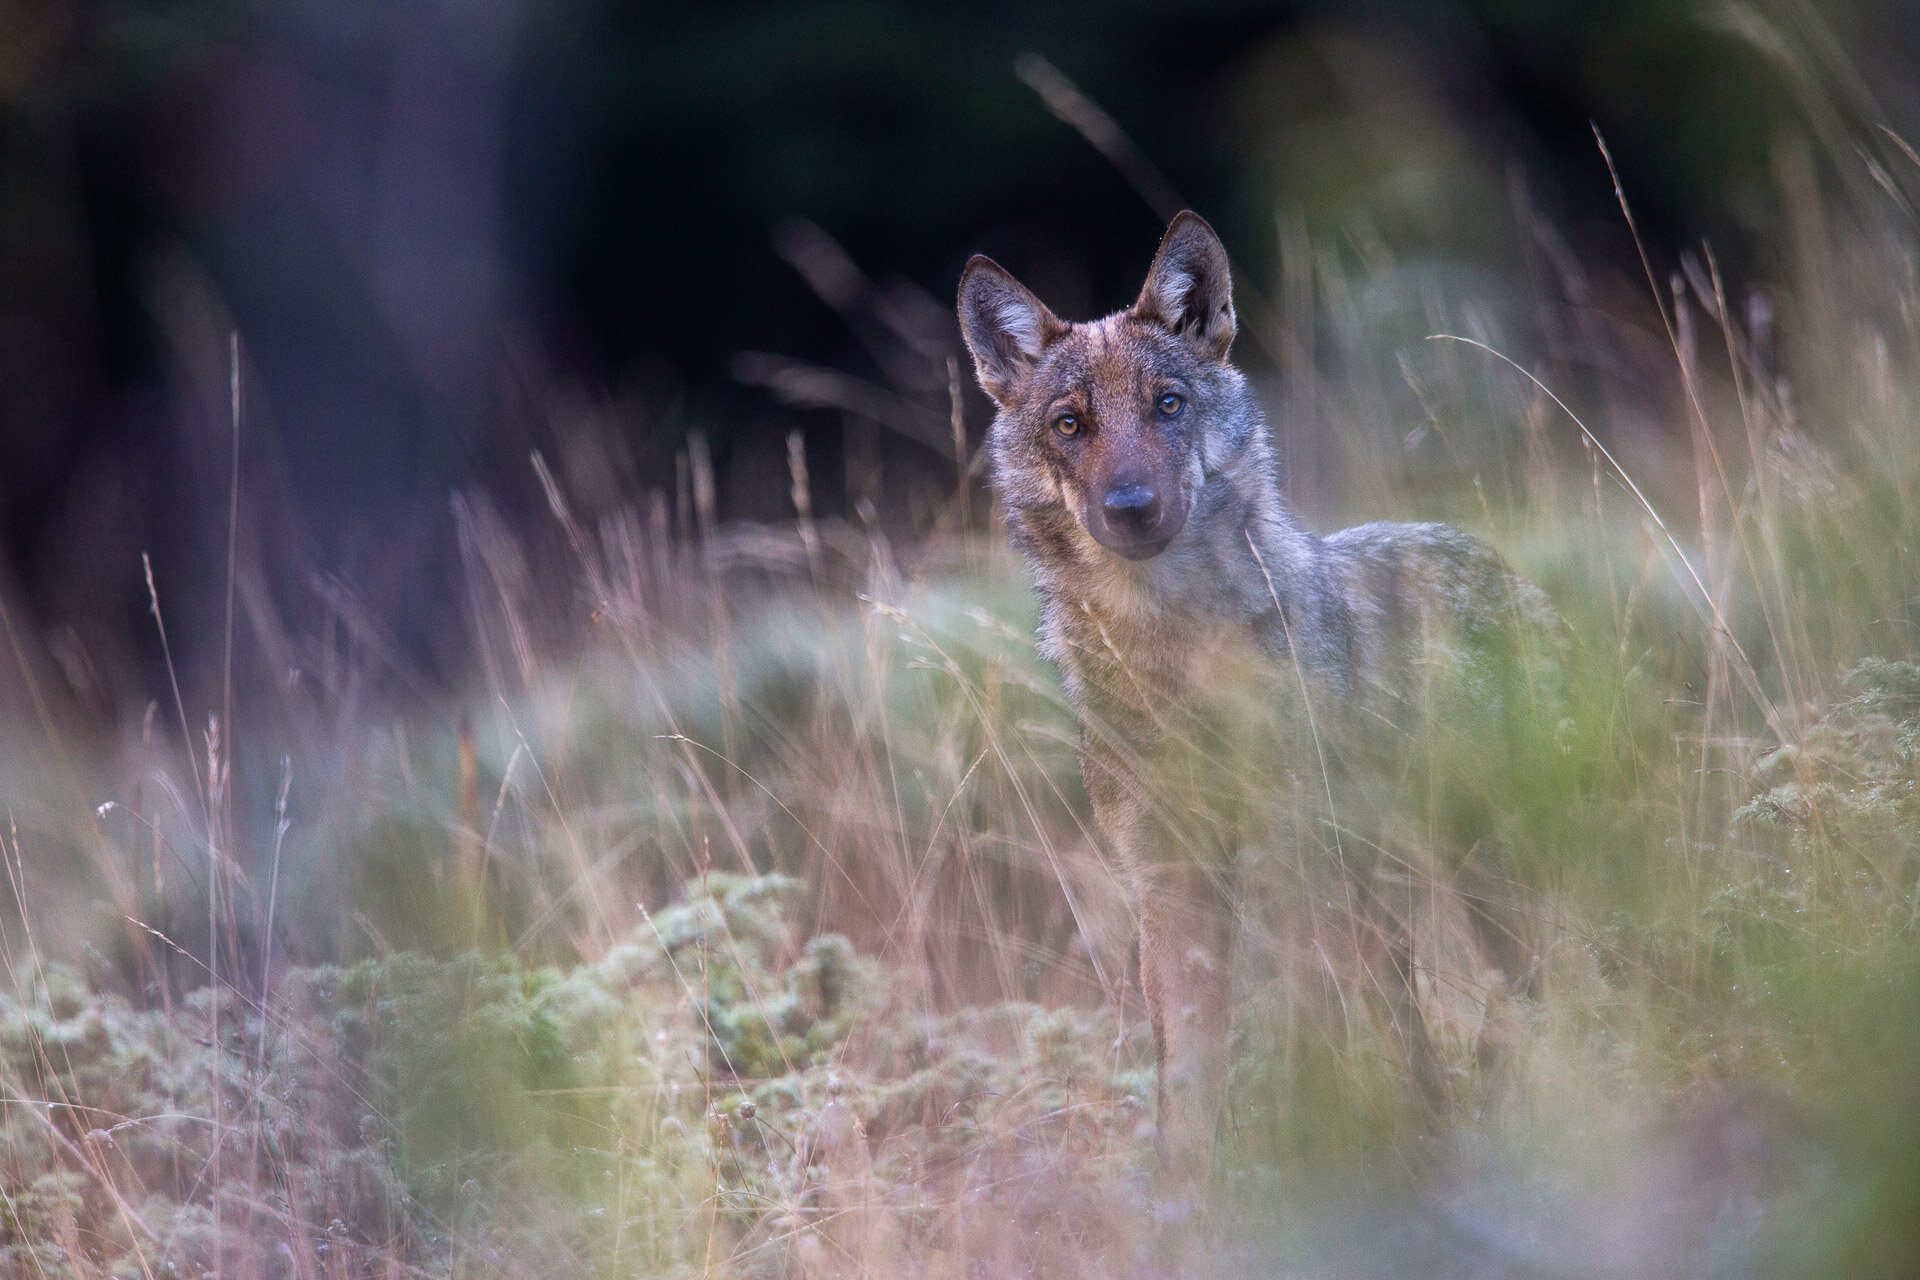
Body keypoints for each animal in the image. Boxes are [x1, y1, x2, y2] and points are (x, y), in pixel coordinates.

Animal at [958, 212, 1565, 1186]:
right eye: (1070, 423)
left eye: (1169, 404)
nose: (1131, 505)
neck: (1172, 662)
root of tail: (1500, 564)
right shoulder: (1170, 891)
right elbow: (1186, 1083)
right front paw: (1184, 1197)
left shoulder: (1294, 865)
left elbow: (1327, 1031)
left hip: (1476, 877)